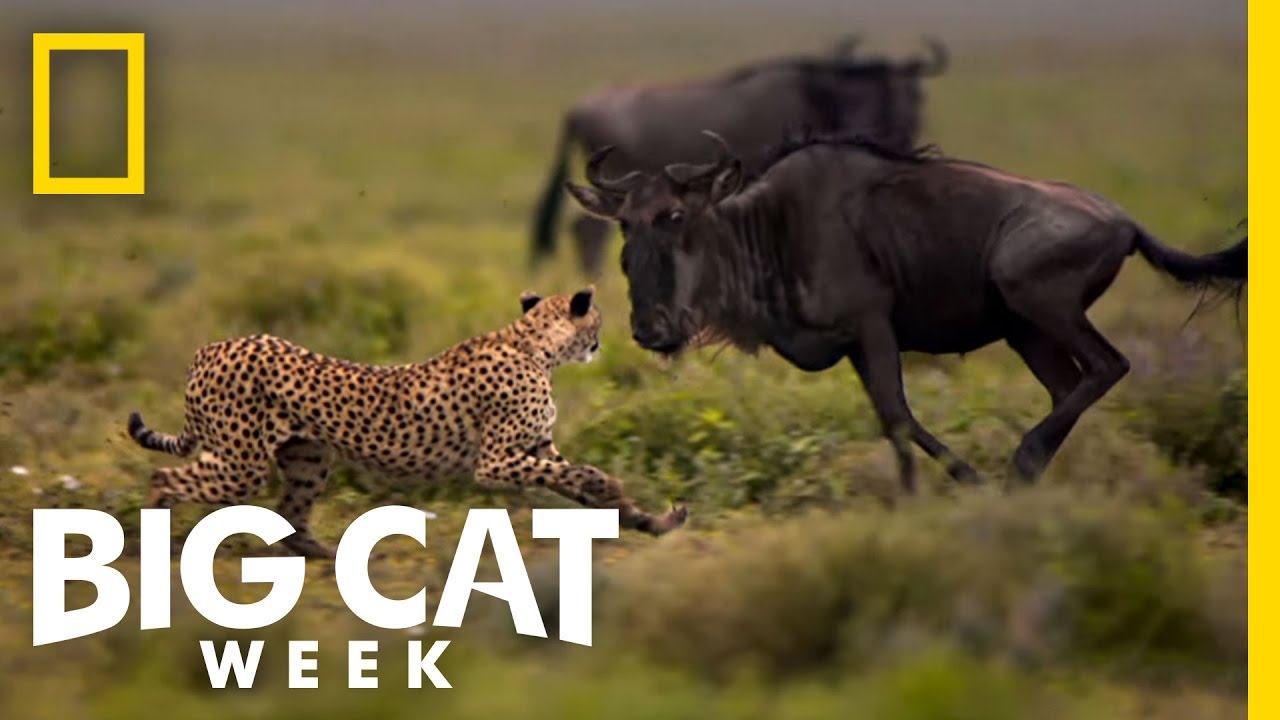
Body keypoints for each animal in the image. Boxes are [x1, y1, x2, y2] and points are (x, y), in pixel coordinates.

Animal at [126, 286, 688, 558]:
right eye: (597, 319)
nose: (605, 340)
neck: (534, 345)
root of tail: (211, 348)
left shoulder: (536, 449)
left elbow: (578, 480)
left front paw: (653, 520)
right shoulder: (496, 462)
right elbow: (579, 475)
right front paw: (612, 490)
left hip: (308, 457)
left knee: (290, 515)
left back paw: (329, 555)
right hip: (242, 465)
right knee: (163, 475)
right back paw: (151, 536)